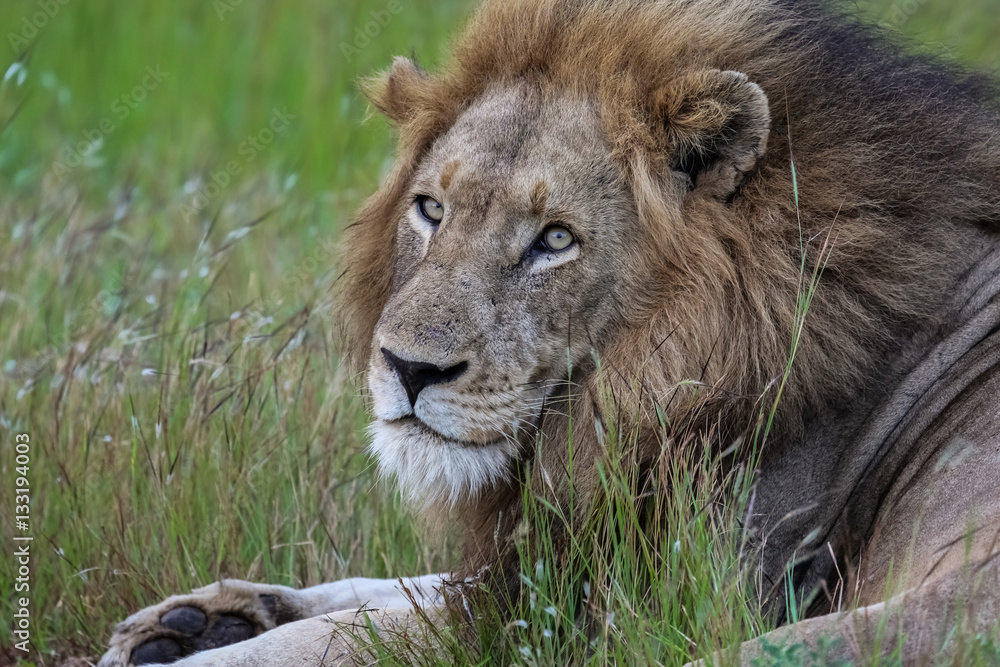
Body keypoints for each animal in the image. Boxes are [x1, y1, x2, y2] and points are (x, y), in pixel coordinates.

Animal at [98, 0, 1000, 664]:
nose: (407, 368)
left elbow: (353, 633)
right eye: (431, 209)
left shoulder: (601, 607)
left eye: (555, 239)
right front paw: (198, 617)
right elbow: (394, 583)